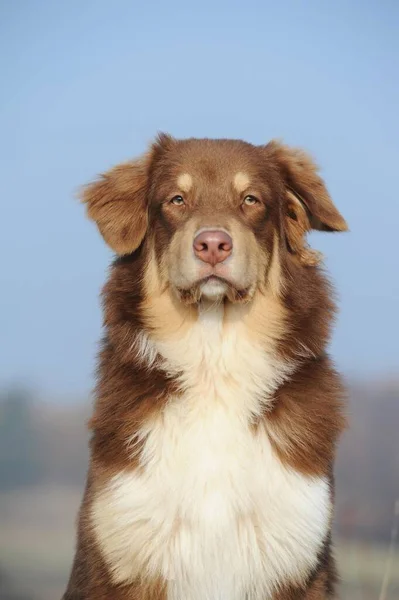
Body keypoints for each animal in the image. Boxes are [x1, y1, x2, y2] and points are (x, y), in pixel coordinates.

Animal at [64, 136, 348, 600]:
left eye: (251, 200)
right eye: (177, 200)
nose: (213, 244)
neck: (214, 359)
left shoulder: (294, 552)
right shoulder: (123, 546)